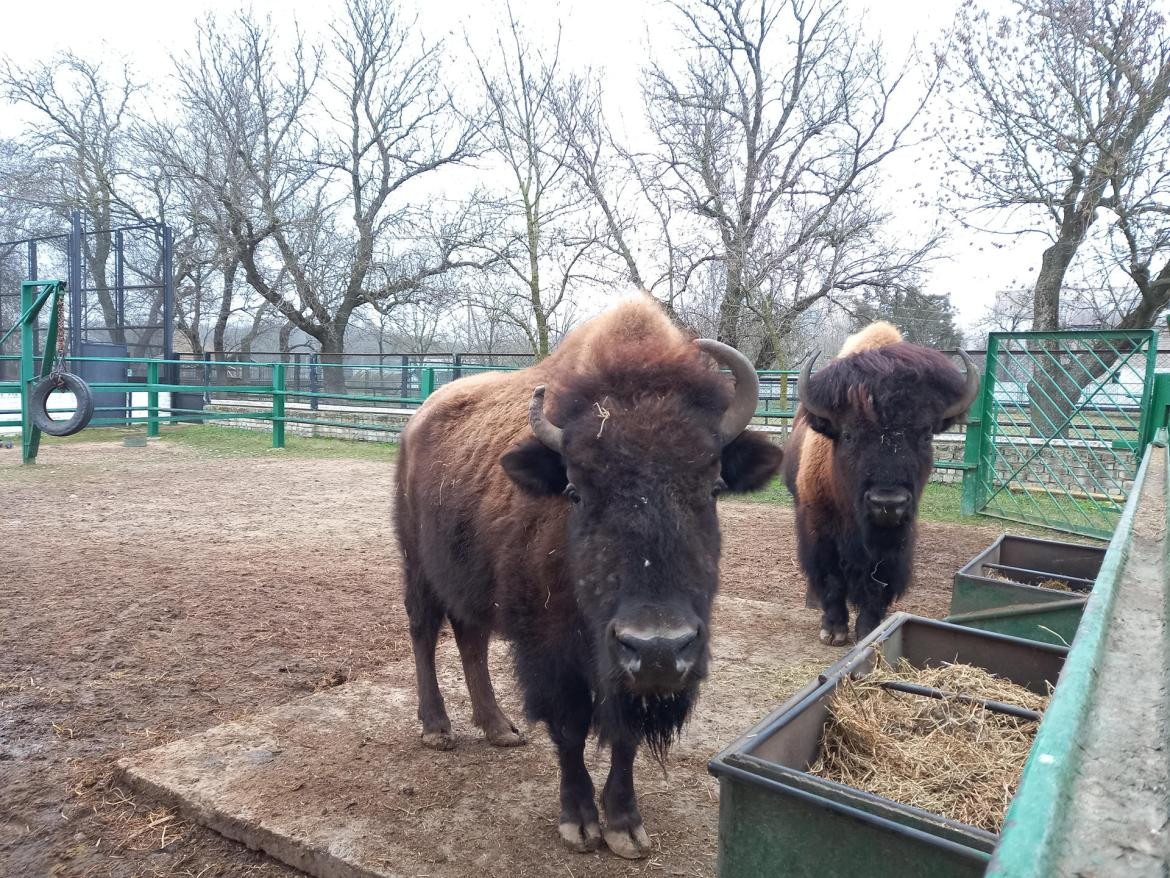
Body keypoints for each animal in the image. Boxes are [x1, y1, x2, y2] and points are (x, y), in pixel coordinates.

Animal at [395, 299, 786, 861]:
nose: (660, 647)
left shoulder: (624, 671)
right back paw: (437, 729)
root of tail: (417, 422)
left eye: (712, 487)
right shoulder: (552, 651)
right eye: (575, 491)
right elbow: (571, 728)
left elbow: (623, 737)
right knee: (425, 633)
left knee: (471, 641)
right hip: (418, 568)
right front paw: (579, 823)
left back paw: (499, 729)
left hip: (471, 586)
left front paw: (625, 826)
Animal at [781, 323, 982, 646]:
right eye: (848, 434)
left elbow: (878, 582)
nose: (887, 504)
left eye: (926, 434)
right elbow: (832, 577)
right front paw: (834, 631)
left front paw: (868, 631)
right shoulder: (820, 527)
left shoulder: (896, 541)